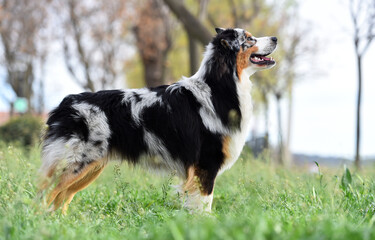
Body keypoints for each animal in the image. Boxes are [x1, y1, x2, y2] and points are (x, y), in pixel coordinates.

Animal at [39, 27, 280, 213]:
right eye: (249, 39)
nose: (276, 38)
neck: (219, 87)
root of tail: (65, 103)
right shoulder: (206, 164)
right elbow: (204, 204)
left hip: (88, 169)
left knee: (60, 200)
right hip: (75, 163)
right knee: (44, 196)